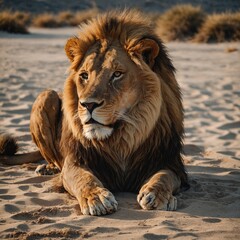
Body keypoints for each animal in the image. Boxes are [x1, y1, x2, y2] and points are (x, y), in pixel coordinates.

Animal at [0, 9, 189, 216]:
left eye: (117, 74)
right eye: (84, 75)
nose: (88, 105)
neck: (122, 139)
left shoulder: (170, 162)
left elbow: (164, 176)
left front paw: (156, 194)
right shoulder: (75, 161)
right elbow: (83, 178)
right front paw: (96, 198)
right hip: (45, 96)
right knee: (53, 158)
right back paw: (46, 168)